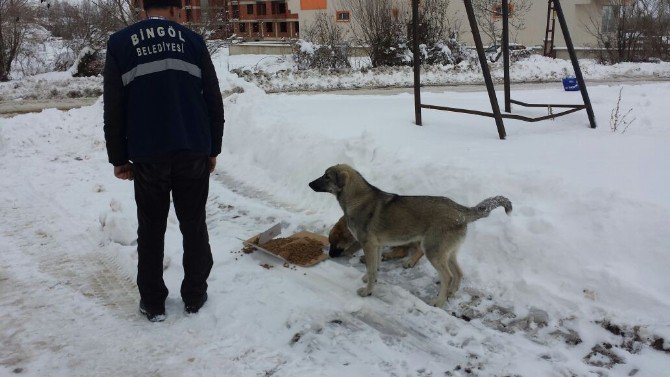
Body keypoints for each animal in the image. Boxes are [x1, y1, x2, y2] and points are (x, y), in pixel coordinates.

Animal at [312, 164, 516, 306]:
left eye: (326, 176)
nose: (309, 183)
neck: (356, 199)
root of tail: (461, 210)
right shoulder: (377, 245)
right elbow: (374, 267)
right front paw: (368, 279)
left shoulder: (369, 245)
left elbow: (372, 269)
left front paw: (367, 291)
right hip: (448, 252)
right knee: (458, 273)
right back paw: (450, 294)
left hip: (433, 251)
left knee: (448, 276)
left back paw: (439, 302)